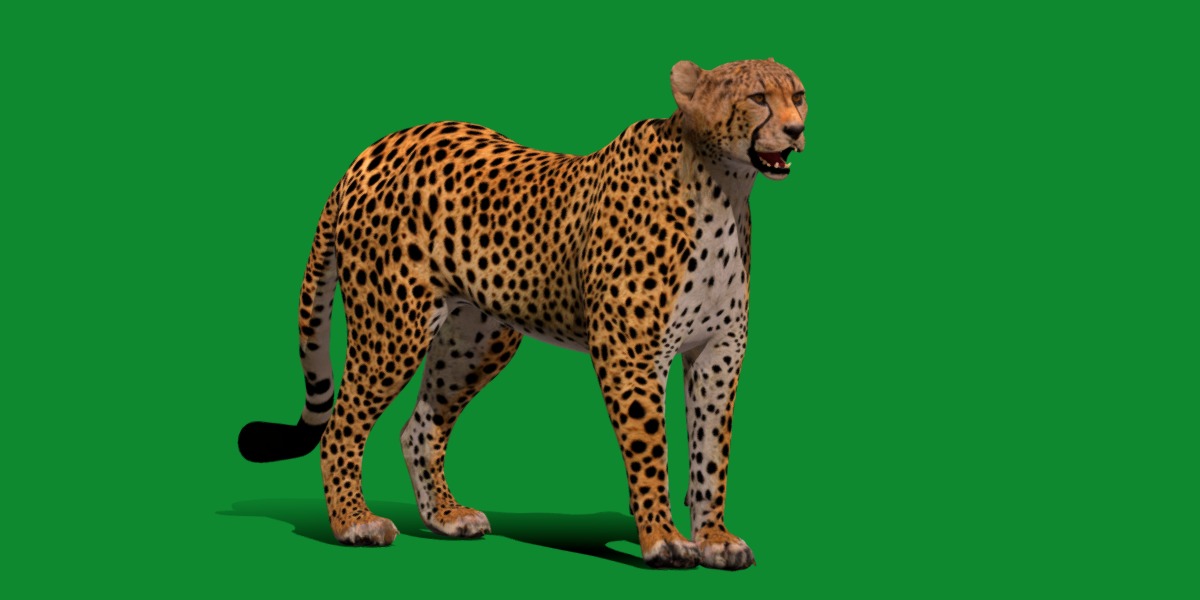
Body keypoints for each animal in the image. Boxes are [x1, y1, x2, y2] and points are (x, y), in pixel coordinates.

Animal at [239, 58, 807, 570]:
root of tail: (374, 149)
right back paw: (354, 523)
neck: (722, 188)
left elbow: (711, 451)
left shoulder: (718, 352)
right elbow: (651, 448)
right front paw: (664, 540)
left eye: (798, 95)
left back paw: (446, 516)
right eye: (758, 98)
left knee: (419, 428)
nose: (797, 130)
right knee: (341, 426)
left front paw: (715, 540)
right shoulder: (631, 356)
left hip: (477, 339)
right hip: (393, 329)